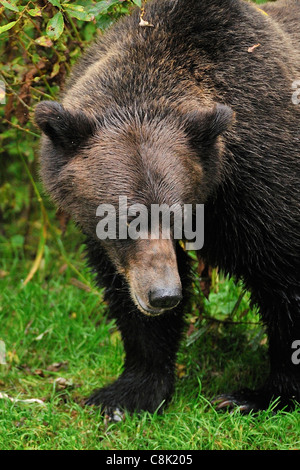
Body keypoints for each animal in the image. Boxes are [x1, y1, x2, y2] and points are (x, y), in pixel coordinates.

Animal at [35, 0, 300, 418]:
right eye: (125, 219)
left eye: (179, 218)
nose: (164, 295)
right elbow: (128, 301)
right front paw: (128, 393)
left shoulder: (264, 185)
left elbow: (285, 283)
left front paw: (257, 396)